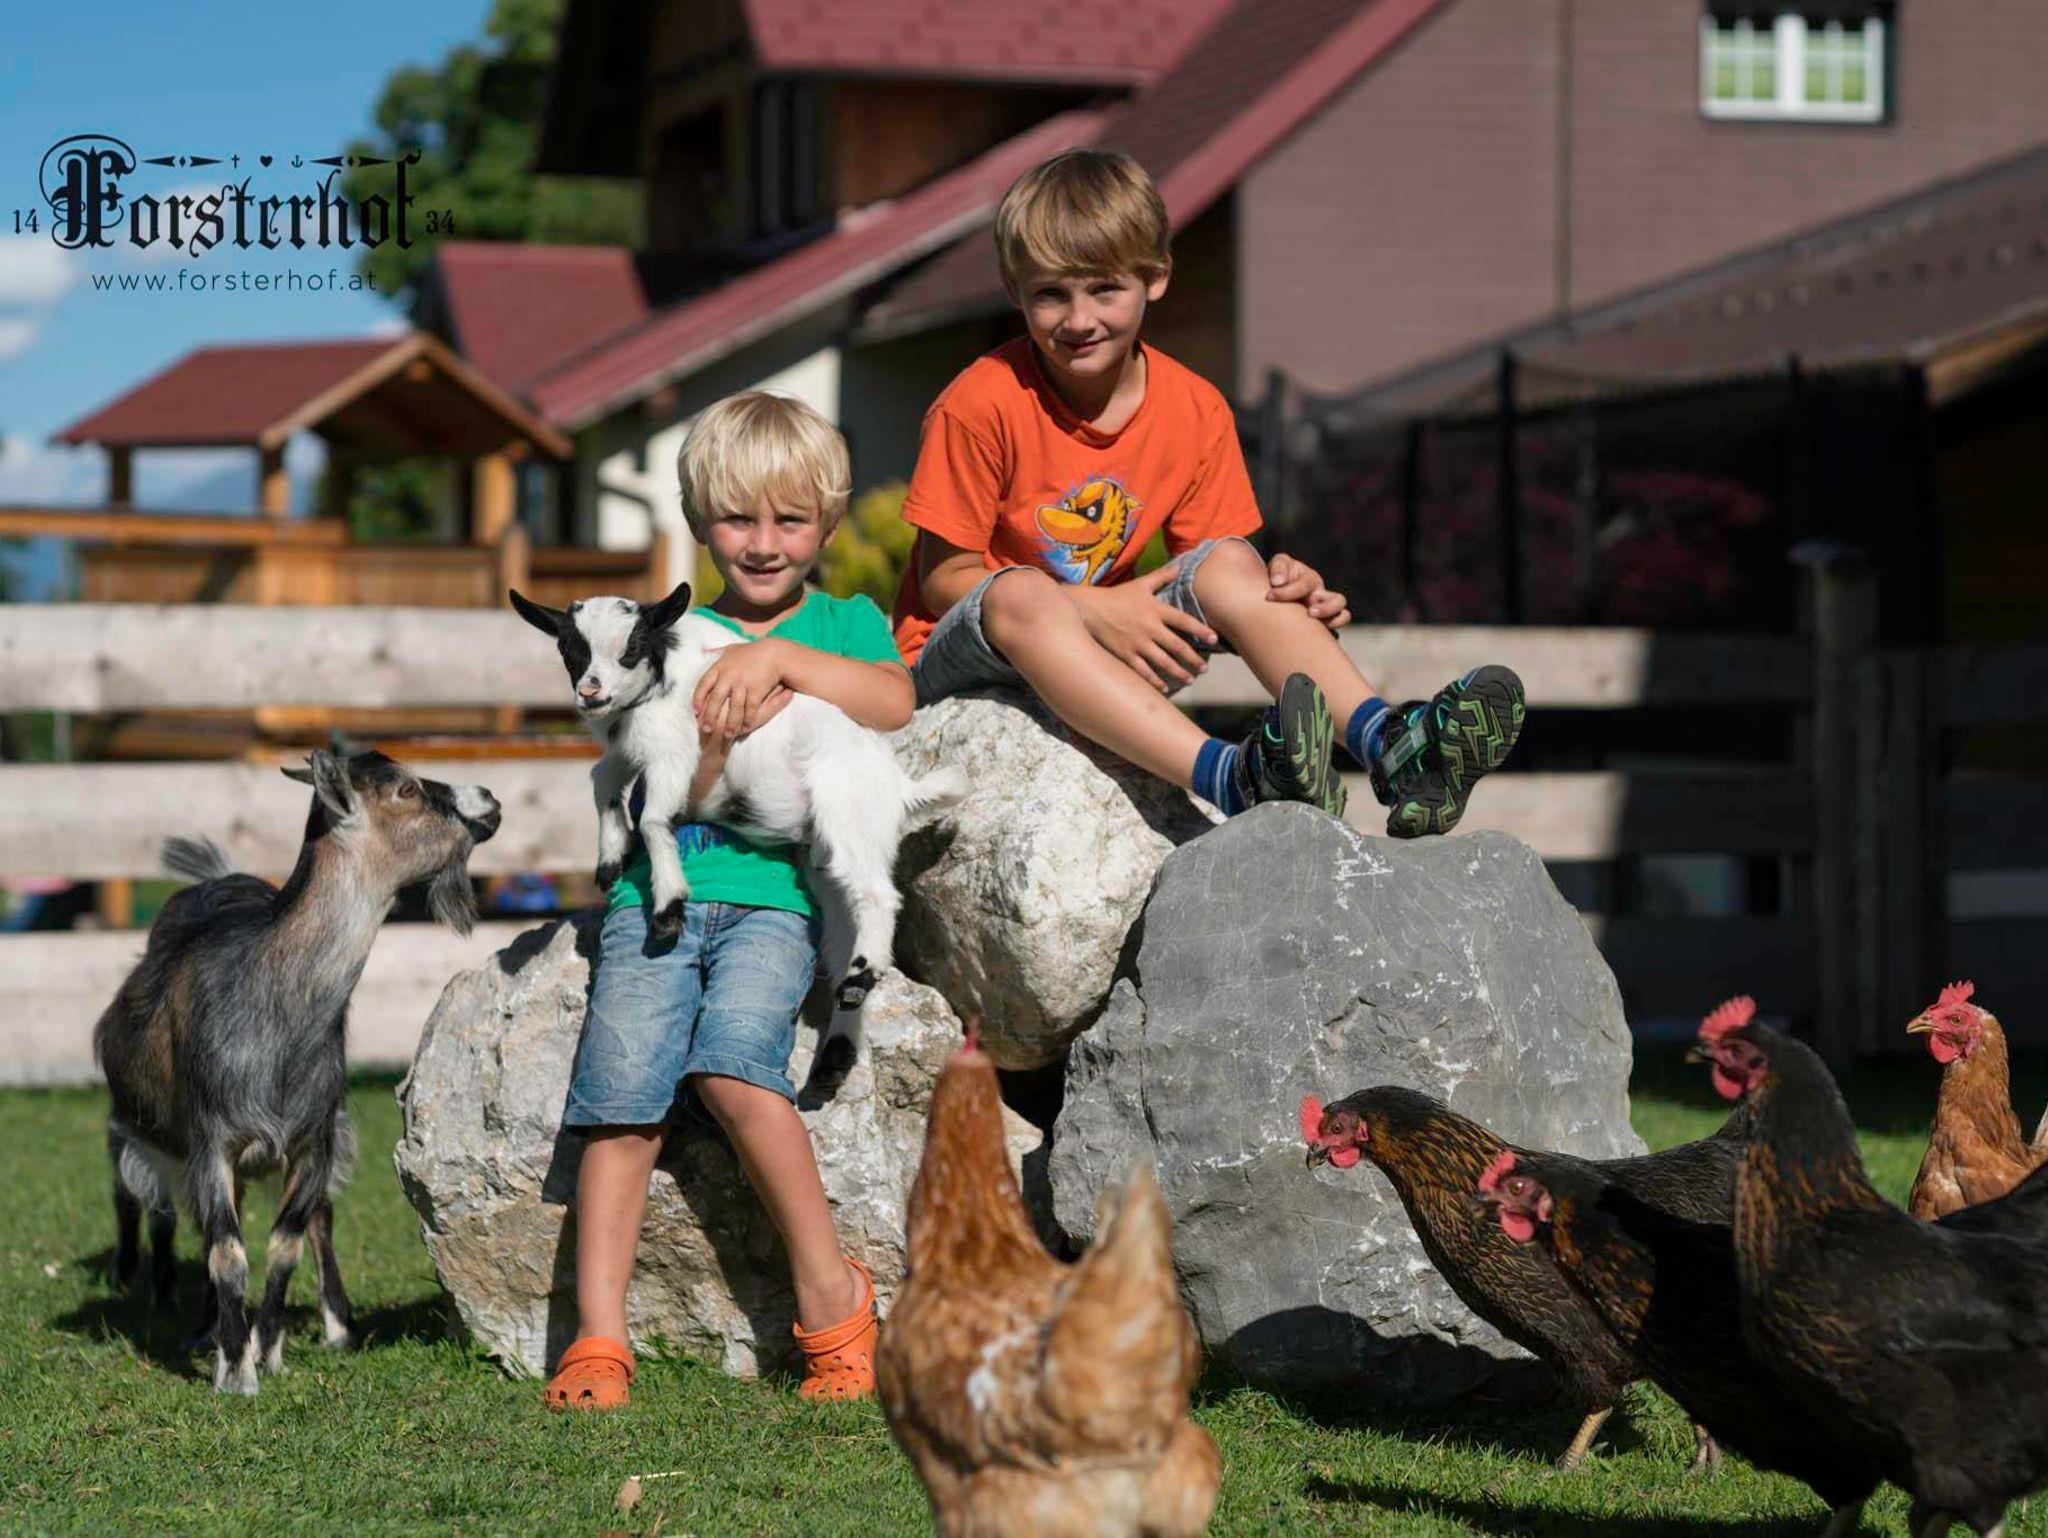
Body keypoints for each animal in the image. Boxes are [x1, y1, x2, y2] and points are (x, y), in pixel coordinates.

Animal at [95, 749, 500, 1394]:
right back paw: (193, 1319)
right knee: (157, 1208)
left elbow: (285, 1242)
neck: (275, 1011)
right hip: (144, 1132)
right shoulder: (213, 1141)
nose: (487, 797)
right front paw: (236, 1371)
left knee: (317, 1220)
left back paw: (331, 1327)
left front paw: (268, 1348)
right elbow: (226, 1251)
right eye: (407, 789)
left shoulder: (313, 1139)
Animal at [509, 582, 966, 1011]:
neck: (666, 669)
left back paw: (859, 979)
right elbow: (600, 778)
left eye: (632, 648)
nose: (591, 694)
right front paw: (610, 859)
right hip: (825, 854)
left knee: (878, 895)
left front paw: (668, 909)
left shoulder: (673, 752)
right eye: (568, 649)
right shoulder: (631, 748)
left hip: (851, 818)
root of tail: (900, 787)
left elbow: (653, 821)